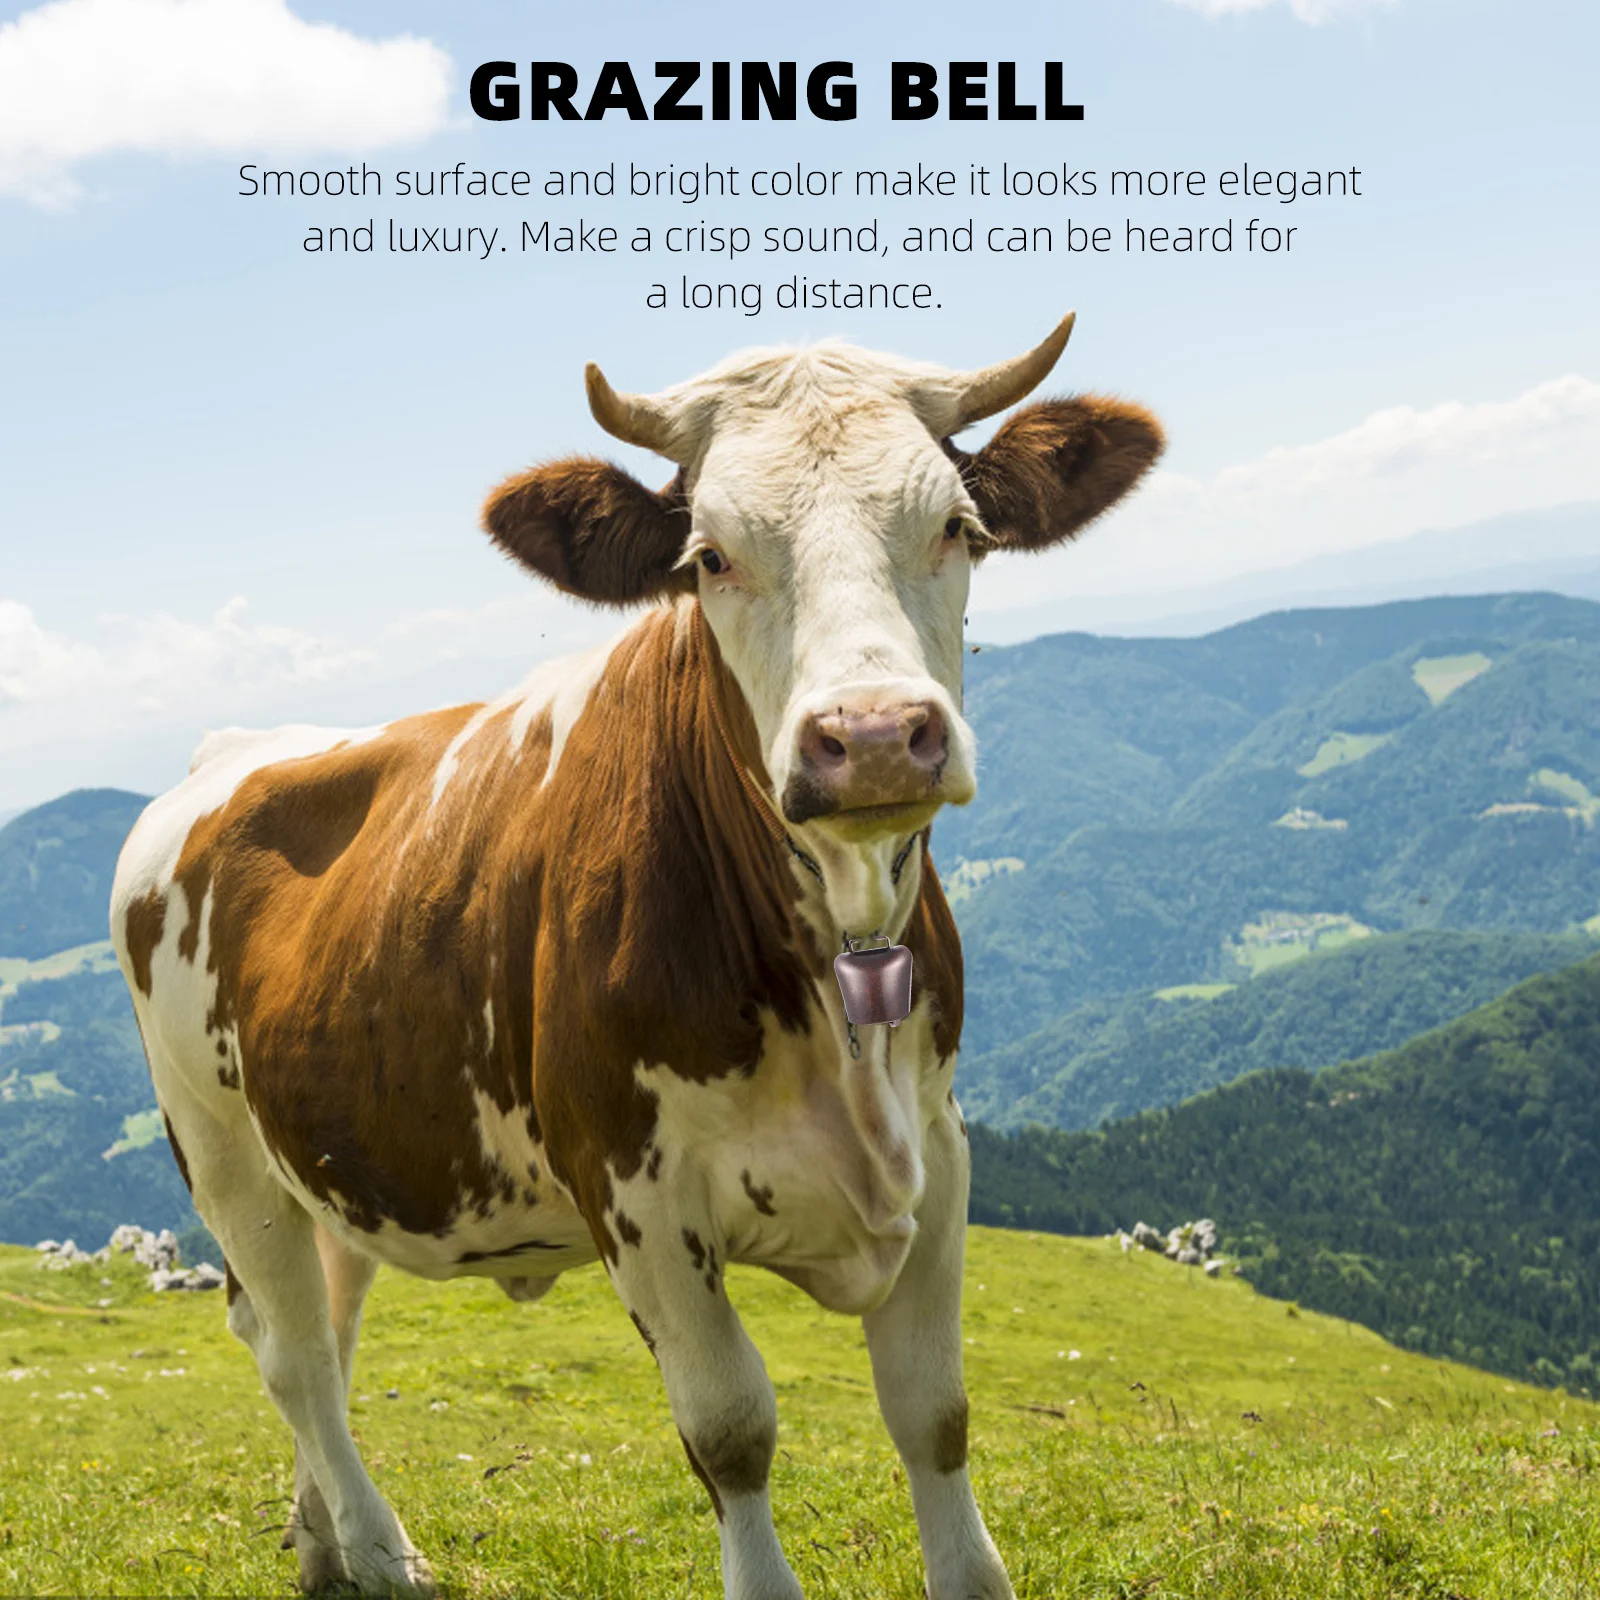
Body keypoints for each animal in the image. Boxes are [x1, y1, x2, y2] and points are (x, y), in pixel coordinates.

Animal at [109, 316, 1162, 1599]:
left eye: (960, 526)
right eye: (708, 555)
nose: (870, 737)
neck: (832, 967)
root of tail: (230, 750)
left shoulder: (940, 1146)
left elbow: (934, 1411)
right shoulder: (637, 1195)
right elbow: (730, 1428)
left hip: (325, 1147)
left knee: (321, 1319)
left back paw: (324, 1546)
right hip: (216, 1145)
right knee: (293, 1350)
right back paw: (377, 1546)